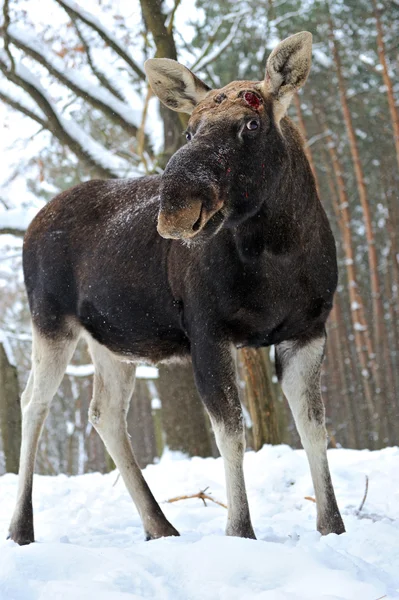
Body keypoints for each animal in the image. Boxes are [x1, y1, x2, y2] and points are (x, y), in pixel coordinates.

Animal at [7, 34, 346, 548]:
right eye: (189, 131)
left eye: (251, 122)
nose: (176, 207)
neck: (279, 254)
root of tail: (31, 224)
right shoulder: (207, 331)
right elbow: (231, 432)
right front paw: (240, 531)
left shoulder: (308, 329)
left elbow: (313, 426)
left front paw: (333, 527)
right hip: (49, 321)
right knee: (33, 403)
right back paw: (21, 529)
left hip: (111, 341)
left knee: (105, 413)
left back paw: (160, 526)